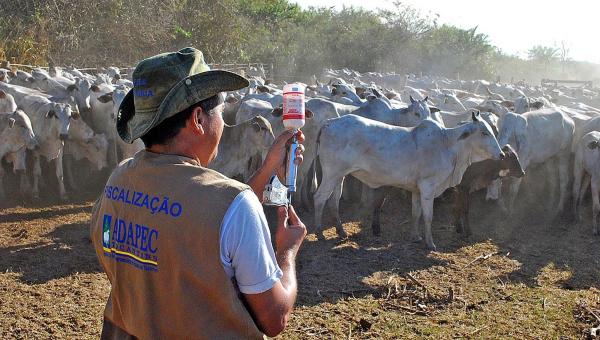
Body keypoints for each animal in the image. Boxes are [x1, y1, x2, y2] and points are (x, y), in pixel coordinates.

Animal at [314, 112, 502, 250]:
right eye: (484, 132)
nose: (501, 153)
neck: (448, 145)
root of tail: (329, 122)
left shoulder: (417, 189)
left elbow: (416, 213)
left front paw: (416, 236)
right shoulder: (428, 187)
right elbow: (428, 216)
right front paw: (430, 243)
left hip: (339, 176)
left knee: (333, 201)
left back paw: (341, 231)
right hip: (331, 174)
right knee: (319, 198)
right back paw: (319, 232)